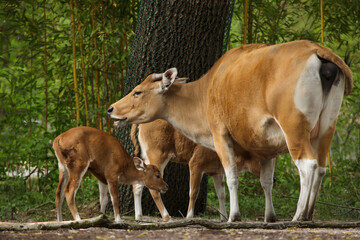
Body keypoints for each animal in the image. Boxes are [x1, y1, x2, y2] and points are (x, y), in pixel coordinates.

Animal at [131, 119, 274, 222]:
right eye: (261, 160)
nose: (274, 178)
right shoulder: (195, 164)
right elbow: (193, 191)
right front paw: (189, 216)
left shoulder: (217, 172)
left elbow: (221, 194)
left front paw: (223, 217)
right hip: (158, 156)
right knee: (153, 187)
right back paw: (167, 217)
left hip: (147, 158)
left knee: (138, 184)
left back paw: (139, 216)